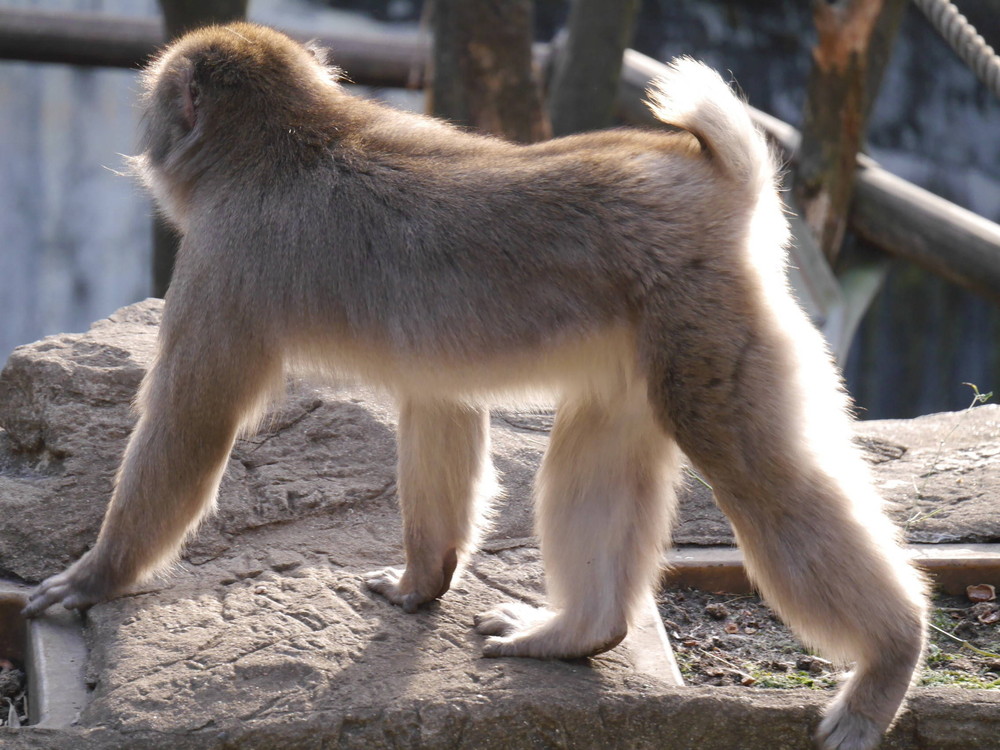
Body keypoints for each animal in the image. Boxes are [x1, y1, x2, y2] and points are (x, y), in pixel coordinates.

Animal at [23, 22, 924, 750]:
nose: (148, 141)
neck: (294, 133)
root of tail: (713, 180)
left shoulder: (222, 258)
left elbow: (190, 422)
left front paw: (95, 577)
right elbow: (439, 408)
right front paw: (421, 582)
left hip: (707, 314)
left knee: (755, 469)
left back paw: (889, 661)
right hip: (648, 331)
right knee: (603, 441)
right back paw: (579, 632)